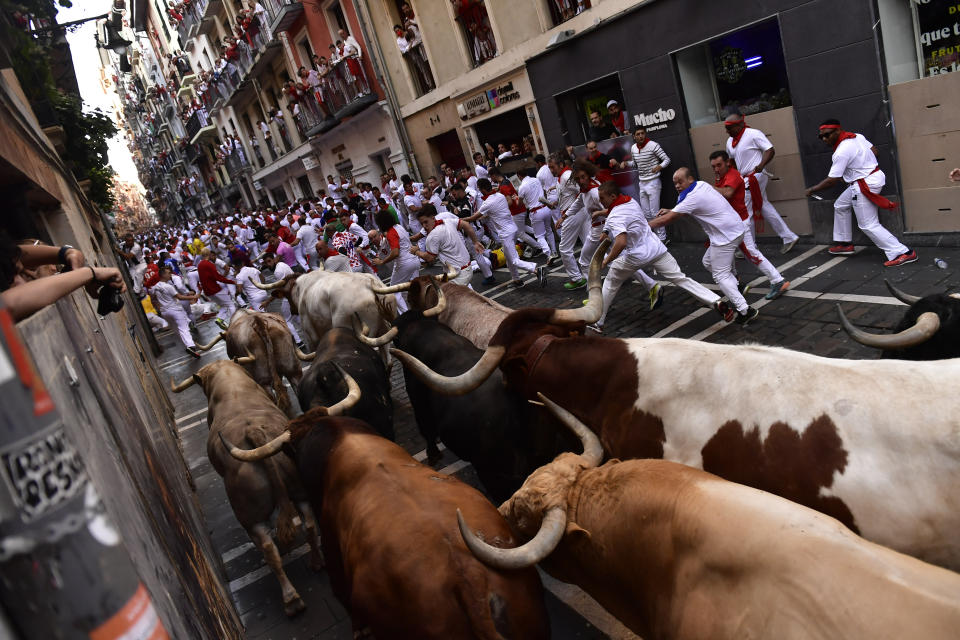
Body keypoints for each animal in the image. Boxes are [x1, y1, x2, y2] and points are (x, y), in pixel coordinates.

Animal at [171, 360, 336, 616]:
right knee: (308, 524)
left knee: (269, 549)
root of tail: (254, 432)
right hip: (298, 489)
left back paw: (291, 599)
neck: (230, 382)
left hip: (250, 515)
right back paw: (317, 562)